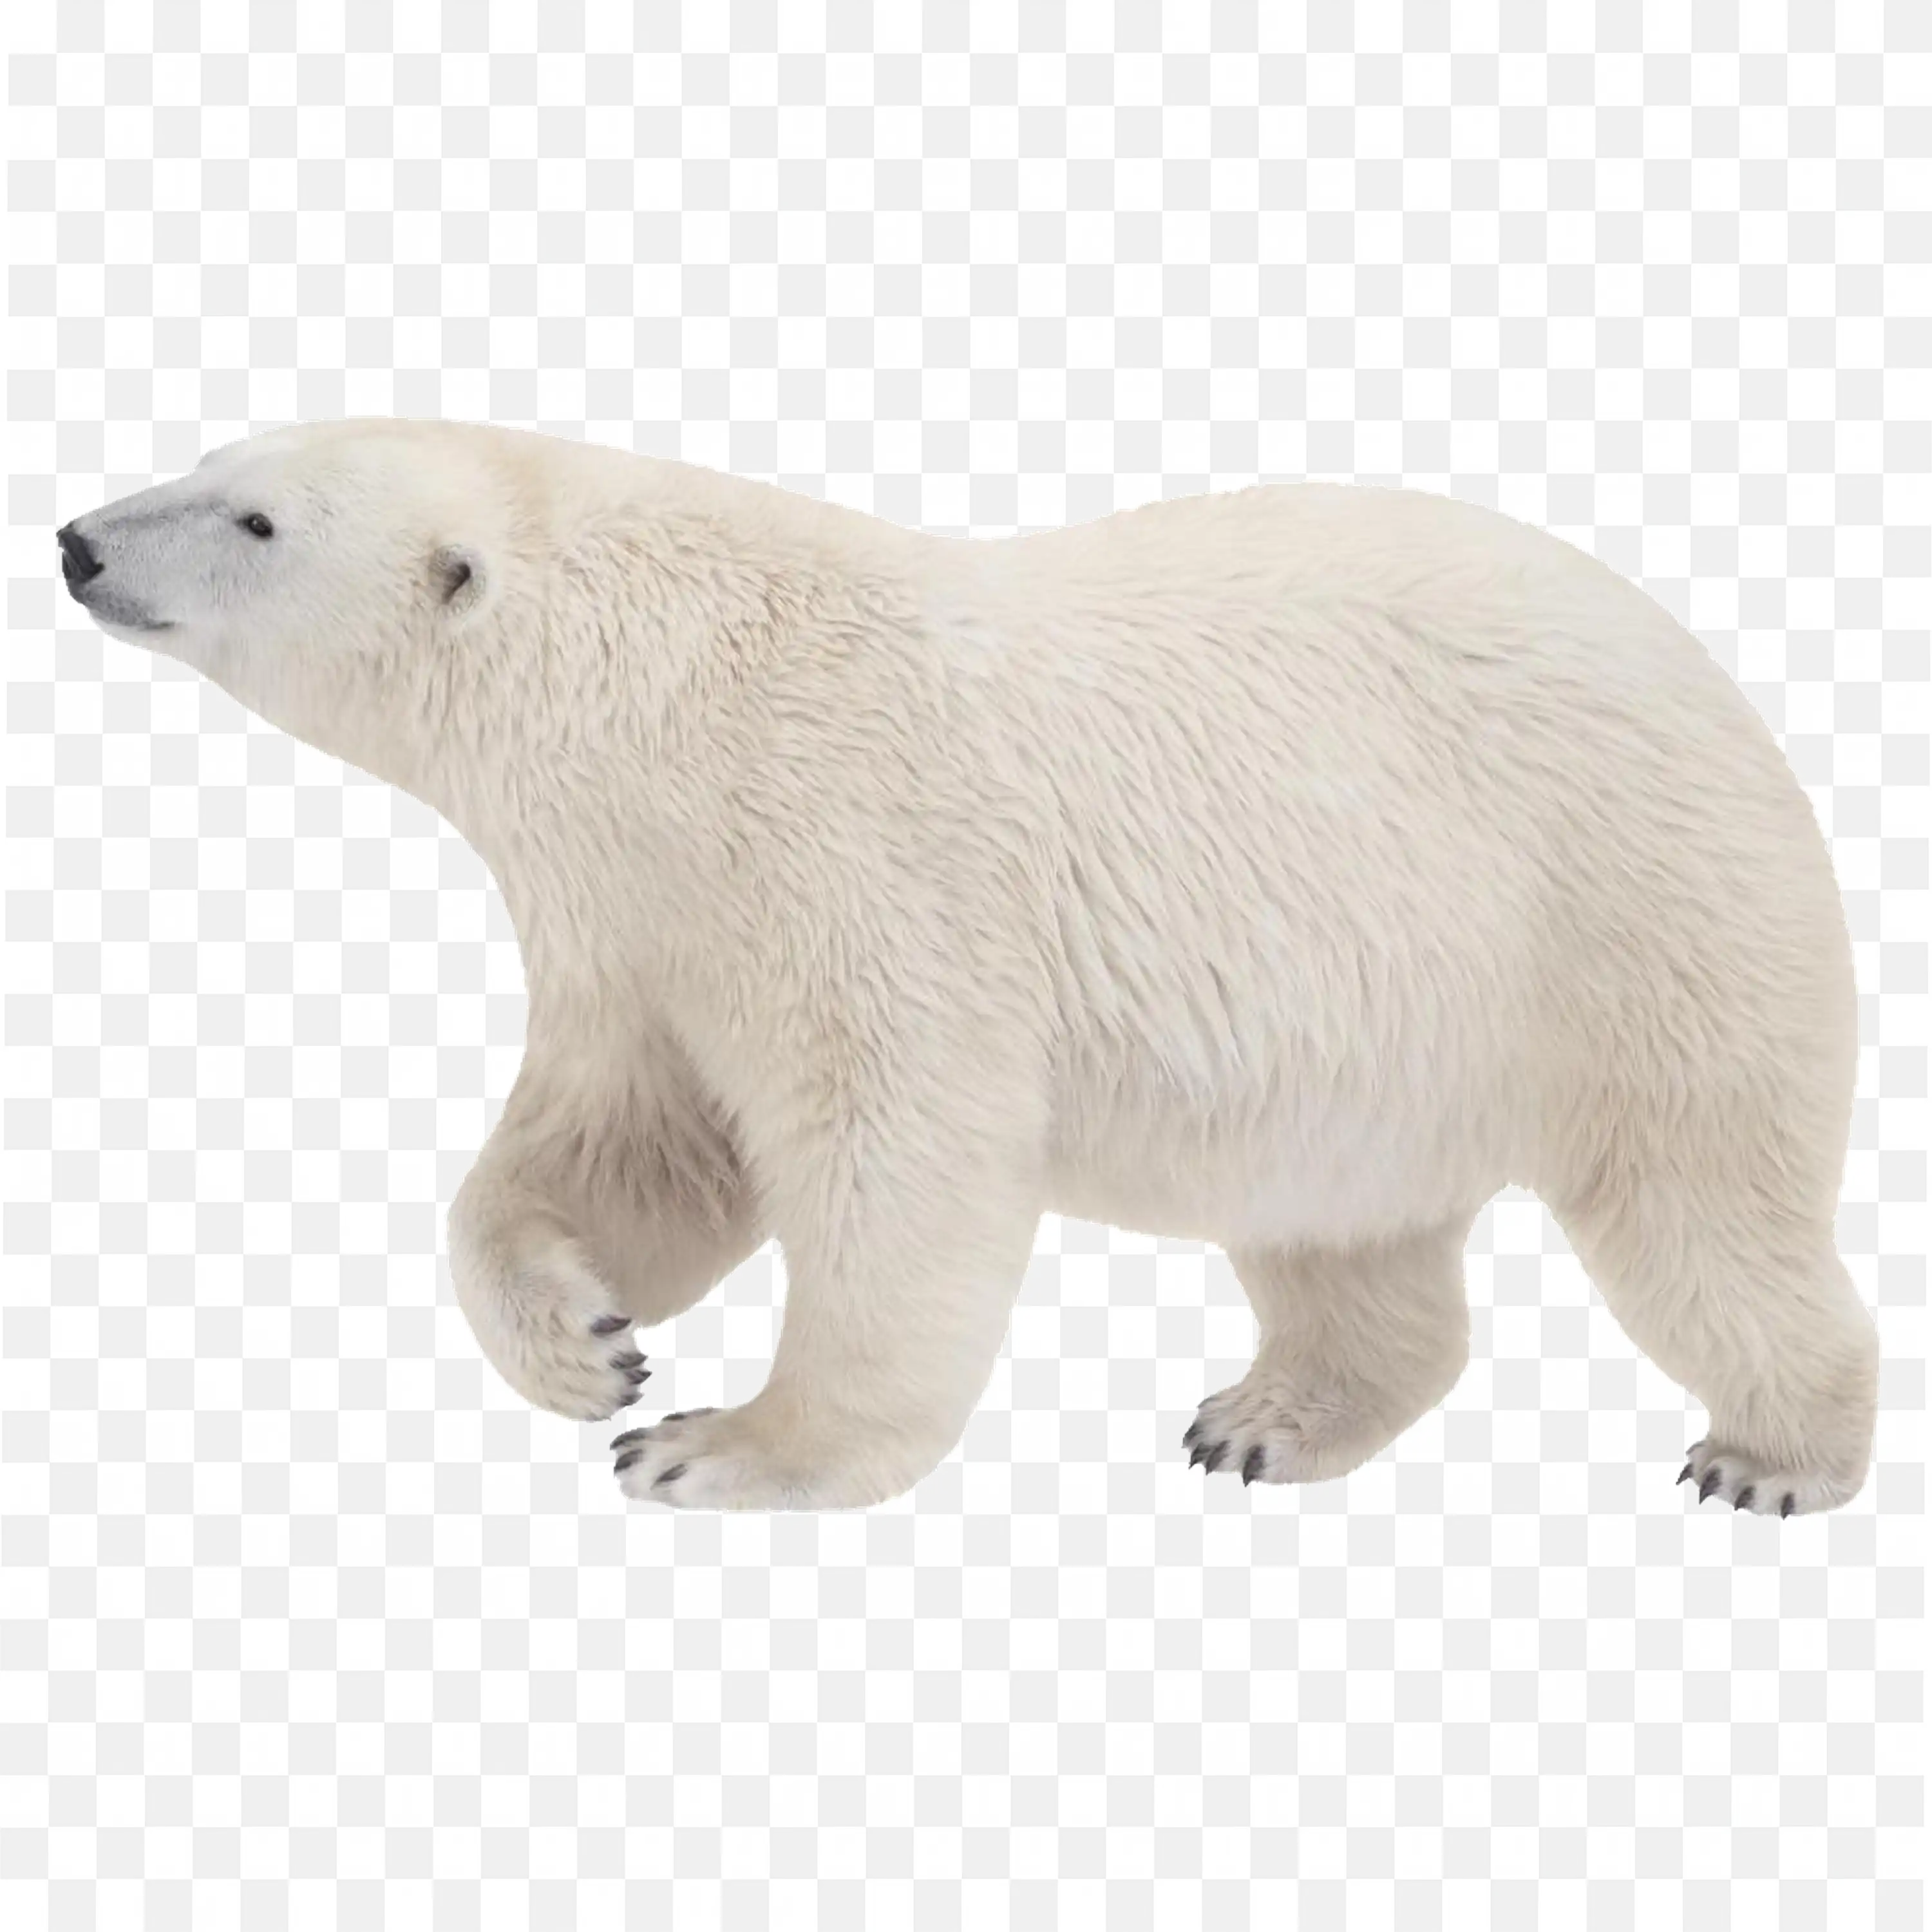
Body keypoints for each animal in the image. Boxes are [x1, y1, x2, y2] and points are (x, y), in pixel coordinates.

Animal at [59, 416, 1880, 1515]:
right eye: (223, 452)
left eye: (252, 516)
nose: (77, 537)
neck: (657, 693)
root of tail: (1718, 677)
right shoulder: (638, 914)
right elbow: (635, 1143)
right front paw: (585, 1339)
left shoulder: (846, 855)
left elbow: (895, 1155)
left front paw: (720, 1445)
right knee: (1339, 1227)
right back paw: (1264, 1417)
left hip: (1619, 908)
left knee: (1700, 1201)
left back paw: (1771, 1451)